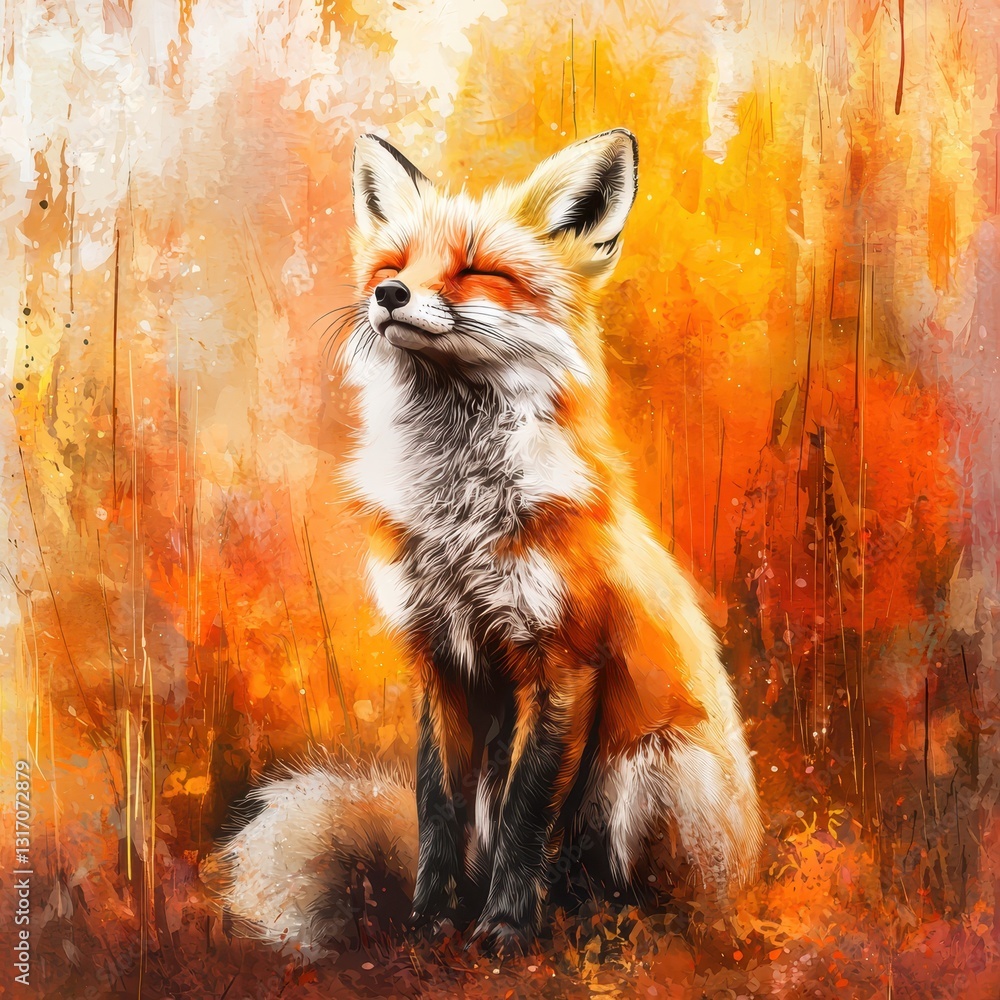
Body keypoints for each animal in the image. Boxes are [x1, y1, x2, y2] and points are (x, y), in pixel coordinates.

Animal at [203, 129, 763, 957]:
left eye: (478, 271)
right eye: (393, 267)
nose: (389, 298)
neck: (459, 518)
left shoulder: (563, 659)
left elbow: (528, 815)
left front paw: (502, 928)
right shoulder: (440, 656)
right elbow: (436, 805)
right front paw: (431, 921)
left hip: (653, 765)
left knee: (644, 899)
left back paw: (600, 928)